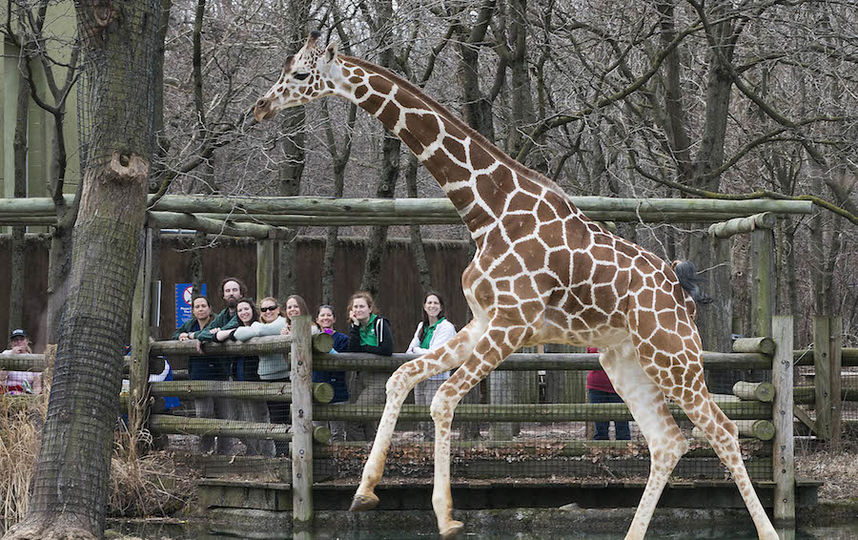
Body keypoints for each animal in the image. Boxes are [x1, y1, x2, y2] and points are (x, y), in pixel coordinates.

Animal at [251, 31, 780, 536]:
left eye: (300, 73)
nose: (260, 107)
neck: (486, 210)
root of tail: (682, 294)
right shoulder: (484, 321)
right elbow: (403, 376)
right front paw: (365, 493)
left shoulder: (513, 326)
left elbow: (442, 398)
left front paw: (446, 517)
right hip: (624, 359)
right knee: (668, 442)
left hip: (673, 357)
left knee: (724, 431)